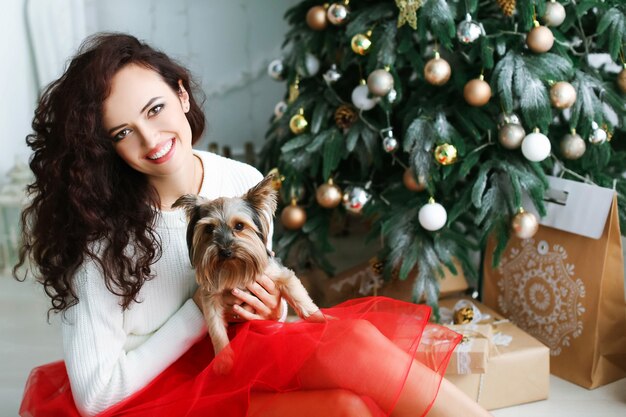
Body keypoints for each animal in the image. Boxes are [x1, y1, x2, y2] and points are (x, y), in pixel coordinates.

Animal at [174, 174, 324, 372]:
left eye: (239, 226)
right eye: (209, 229)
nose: (226, 251)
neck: (233, 268)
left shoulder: (280, 275)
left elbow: (299, 297)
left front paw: (320, 319)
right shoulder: (210, 297)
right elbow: (216, 327)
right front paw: (223, 361)